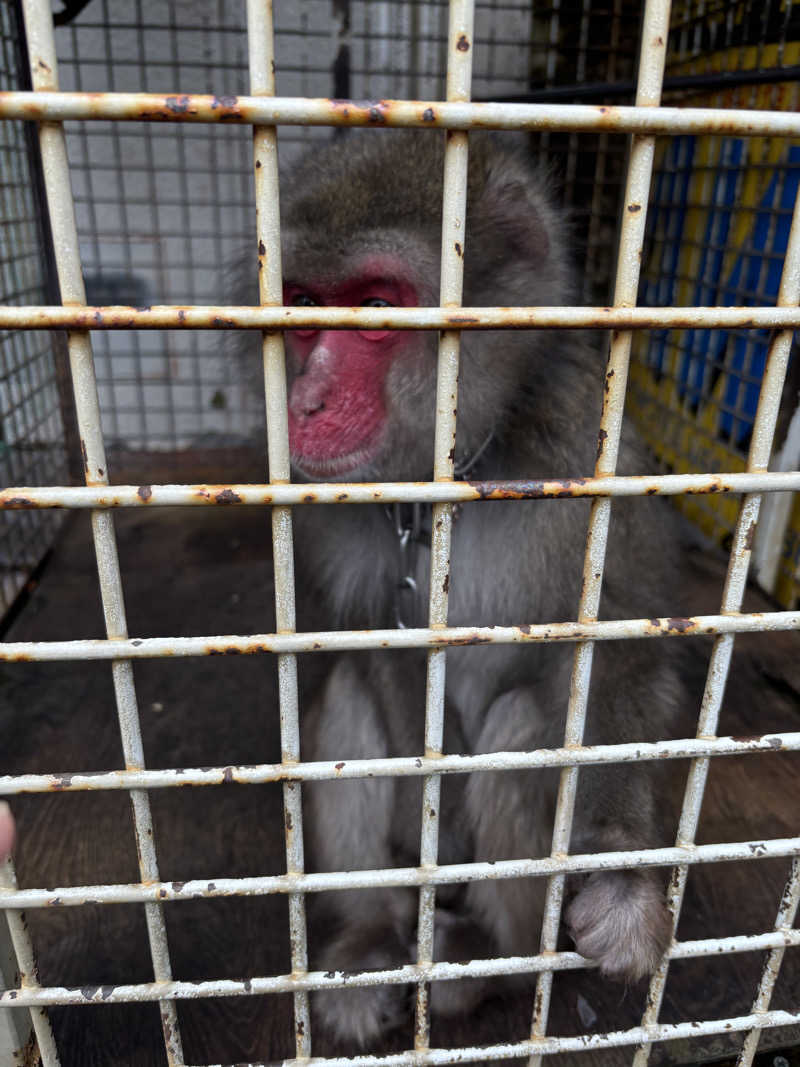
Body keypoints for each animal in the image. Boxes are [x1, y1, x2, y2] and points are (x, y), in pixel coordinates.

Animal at [260, 129, 759, 1045]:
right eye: (303, 303)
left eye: (375, 307)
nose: (302, 402)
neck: (460, 473)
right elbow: (377, 658)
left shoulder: (587, 461)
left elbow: (617, 658)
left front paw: (624, 873)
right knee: (351, 698)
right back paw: (375, 936)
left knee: (527, 722)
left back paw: (483, 963)